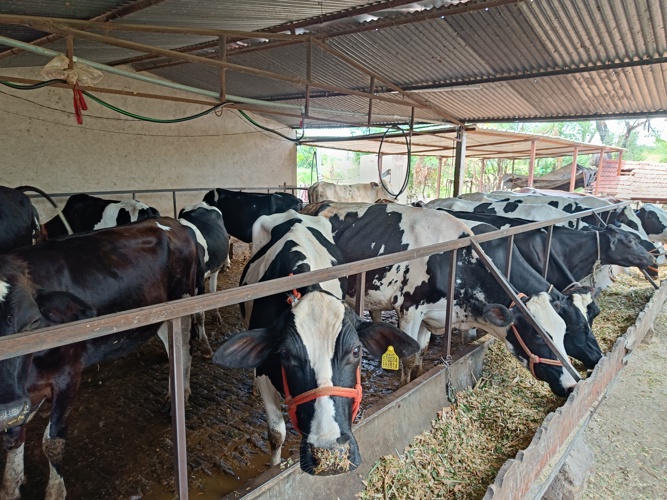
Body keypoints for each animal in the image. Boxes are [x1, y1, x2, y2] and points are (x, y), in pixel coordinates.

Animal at [177, 201, 232, 358]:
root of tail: (201, 203)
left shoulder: (199, 283)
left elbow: (199, 314)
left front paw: (204, 345)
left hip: (215, 267)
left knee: (213, 287)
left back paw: (216, 315)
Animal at [211, 212, 418, 476]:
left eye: (356, 351)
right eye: (284, 354)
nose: (330, 453)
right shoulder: (265, 372)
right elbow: (276, 432)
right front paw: (274, 466)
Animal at [302, 201, 584, 396]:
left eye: (564, 330)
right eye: (538, 336)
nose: (572, 385)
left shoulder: (433, 316)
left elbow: (421, 352)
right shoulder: (409, 309)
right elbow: (409, 356)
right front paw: (403, 388)